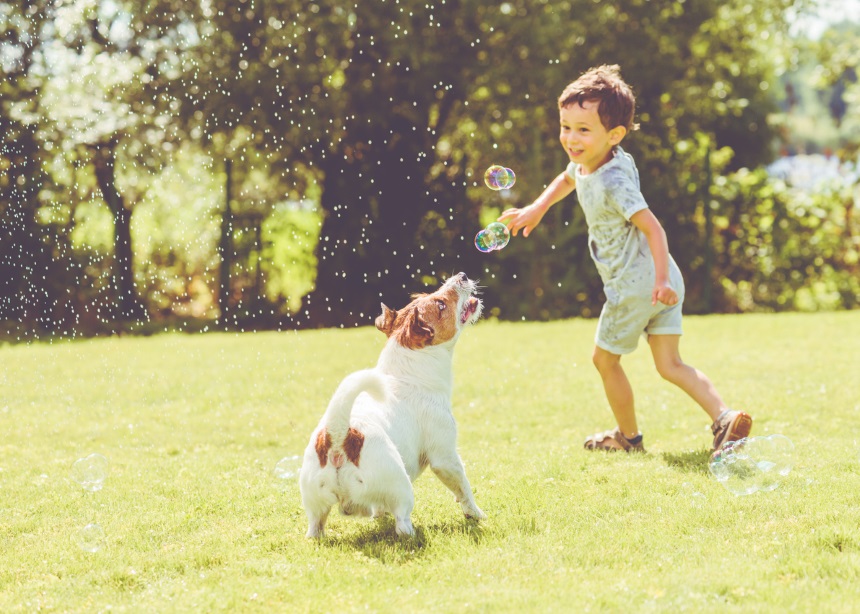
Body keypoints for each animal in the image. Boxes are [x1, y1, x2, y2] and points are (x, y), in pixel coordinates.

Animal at [298, 274, 484, 540]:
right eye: (440, 304)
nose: (462, 276)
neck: (406, 372)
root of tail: (340, 436)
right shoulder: (445, 456)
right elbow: (463, 487)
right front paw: (476, 513)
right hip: (401, 487)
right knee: (402, 523)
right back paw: (412, 533)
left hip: (314, 500)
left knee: (315, 526)